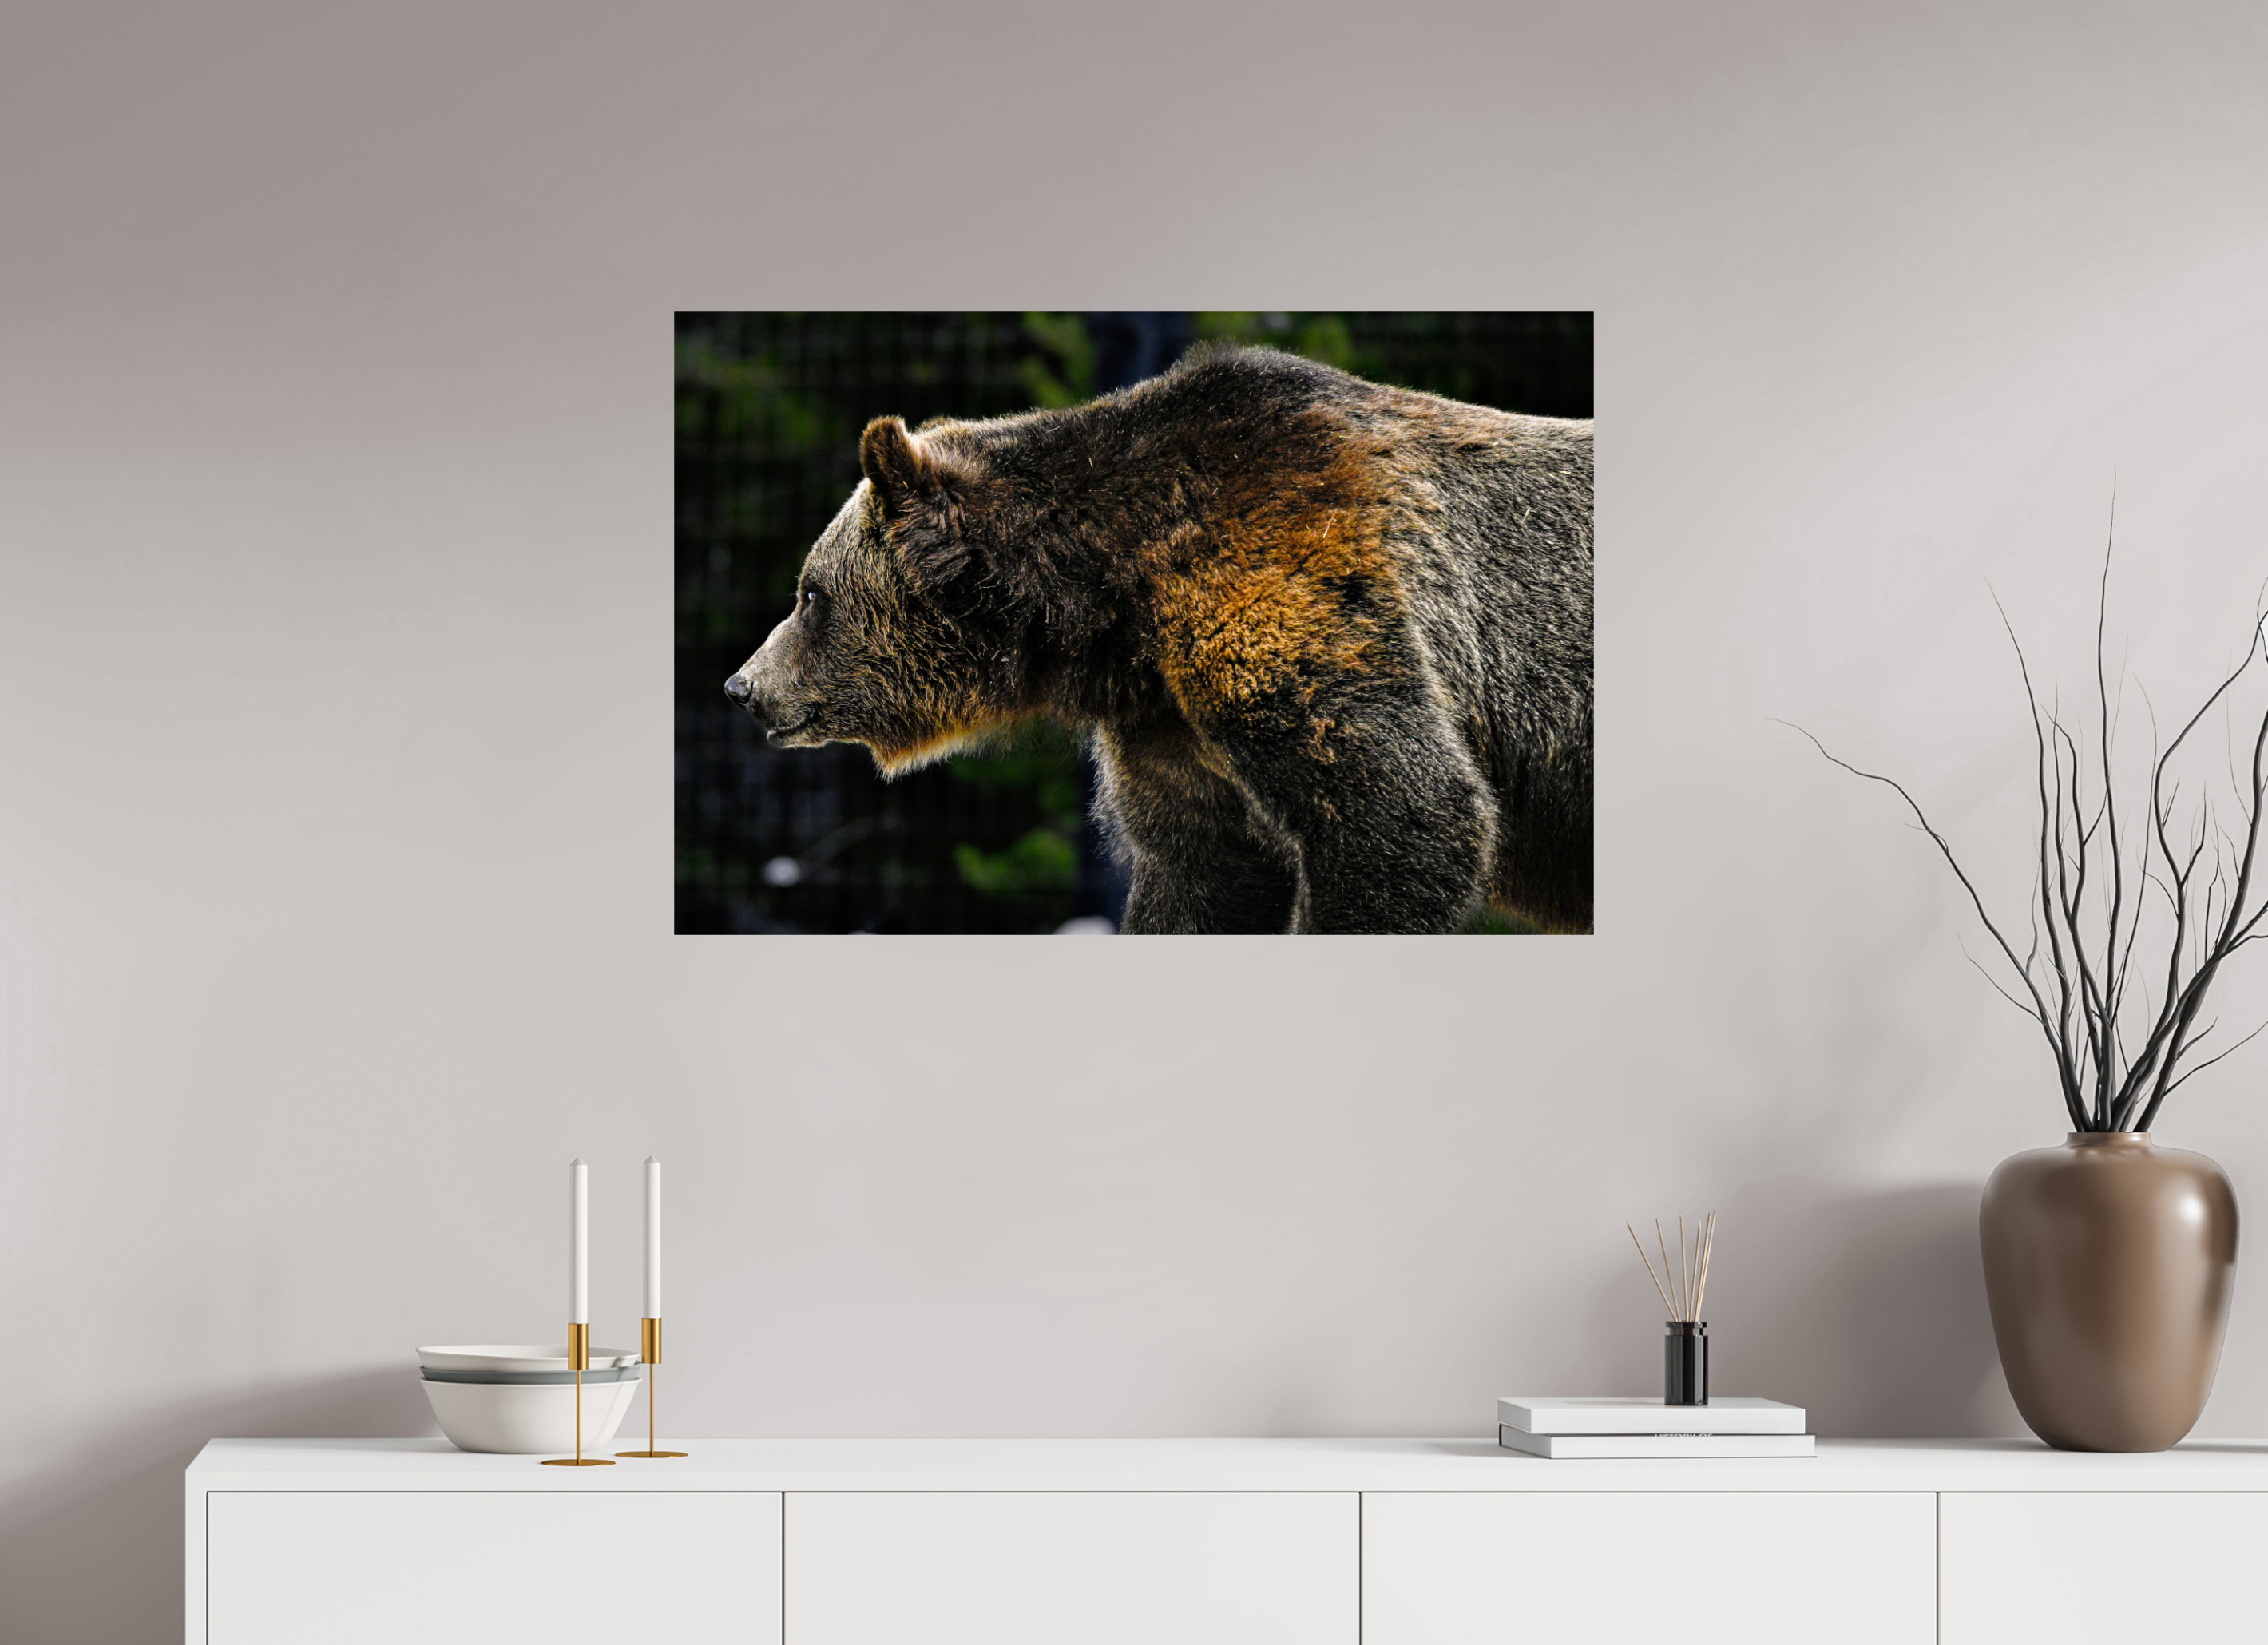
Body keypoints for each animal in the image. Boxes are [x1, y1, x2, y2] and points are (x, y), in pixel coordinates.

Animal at [724, 343, 1592, 934]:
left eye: (810, 593)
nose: (742, 685)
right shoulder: (1170, 724)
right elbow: (1198, 872)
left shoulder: (1284, 596)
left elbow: (1405, 815)